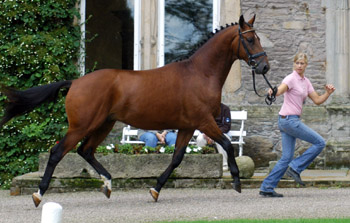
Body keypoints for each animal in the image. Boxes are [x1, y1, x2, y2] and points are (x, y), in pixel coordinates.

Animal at [0, 14, 270, 207]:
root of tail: (75, 82)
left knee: (86, 151)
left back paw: (108, 184)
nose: (264, 67)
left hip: (104, 124)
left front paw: (155, 189)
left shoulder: (187, 126)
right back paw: (38, 194)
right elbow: (226, 144)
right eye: (249, 39)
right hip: (82, 125)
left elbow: (177, 158)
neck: (199, 73)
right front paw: (236, 181)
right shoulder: (204, 121)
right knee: (58, 152)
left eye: (258, 37)